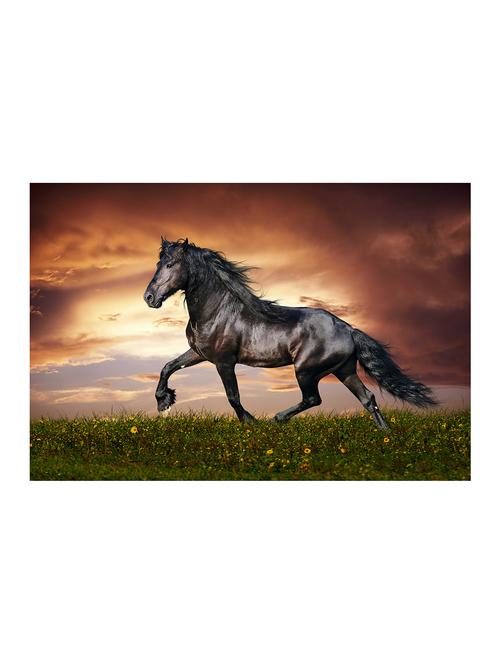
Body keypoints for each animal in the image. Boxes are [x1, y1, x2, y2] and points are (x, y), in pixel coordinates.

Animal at [144, 238, 436, 427]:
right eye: (159, 263)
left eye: (171, 265)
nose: (149, 297)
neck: (217, 310)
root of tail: (349, 329)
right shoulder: (199, 353)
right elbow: (168, 367)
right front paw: (163, 402)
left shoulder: (224, 361)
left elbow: (233, 396)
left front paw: (251, 423)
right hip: (344, 370)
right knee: (368, 398)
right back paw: (386, 436)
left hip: (306, 370)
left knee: (313, 398)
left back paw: (277, 419)